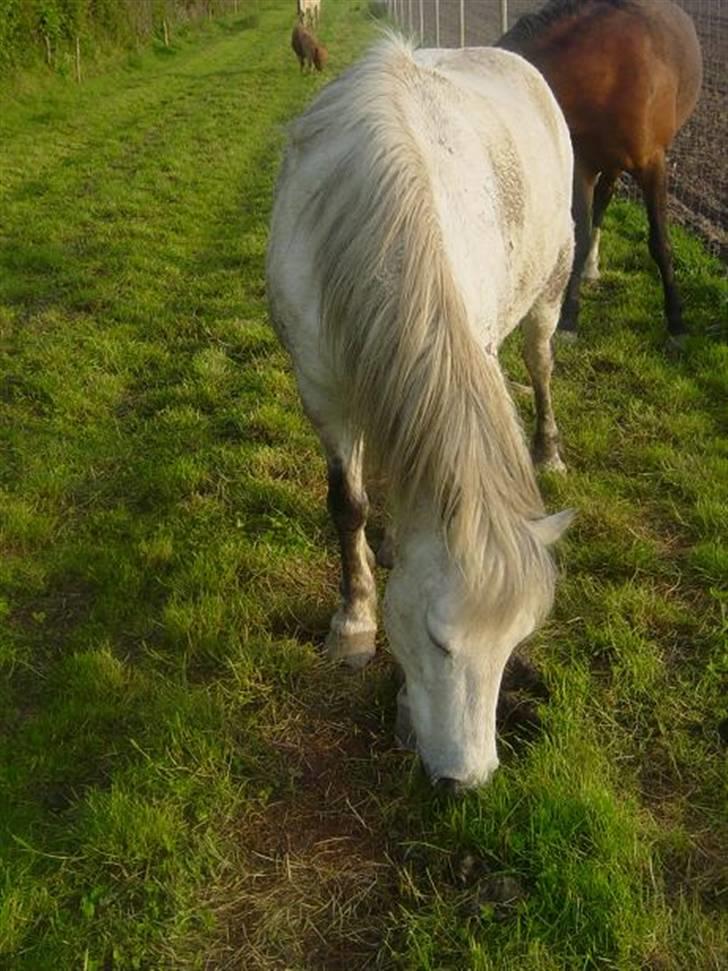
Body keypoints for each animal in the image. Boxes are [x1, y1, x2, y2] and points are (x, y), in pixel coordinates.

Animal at [268, 36, 576, 788]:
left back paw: (549, 449)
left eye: (516, 642)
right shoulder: (323, 391)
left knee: (542, 363)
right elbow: (347, 504)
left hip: (551, 287)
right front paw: (353, 624)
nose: (467, 780)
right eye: (438, 638)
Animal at [498, 0, 704, 342]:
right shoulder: (582, 165)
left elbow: (661, 242)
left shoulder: (653, 165)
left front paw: (676, 322)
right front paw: (569, 318)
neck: (609, 72)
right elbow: (580, 235)